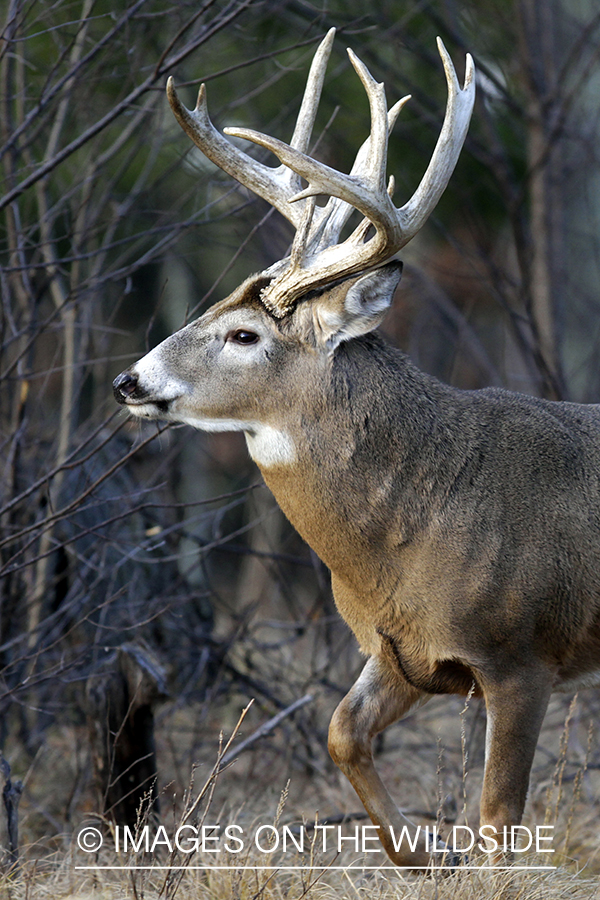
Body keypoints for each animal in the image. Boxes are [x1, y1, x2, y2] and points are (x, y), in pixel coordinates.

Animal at [111, 31, 600, 868]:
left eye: (245, 335)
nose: (129, 381)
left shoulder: (521, 656)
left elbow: (500, 818)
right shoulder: (397, 650)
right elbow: (343, 734)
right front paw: (426, 852)